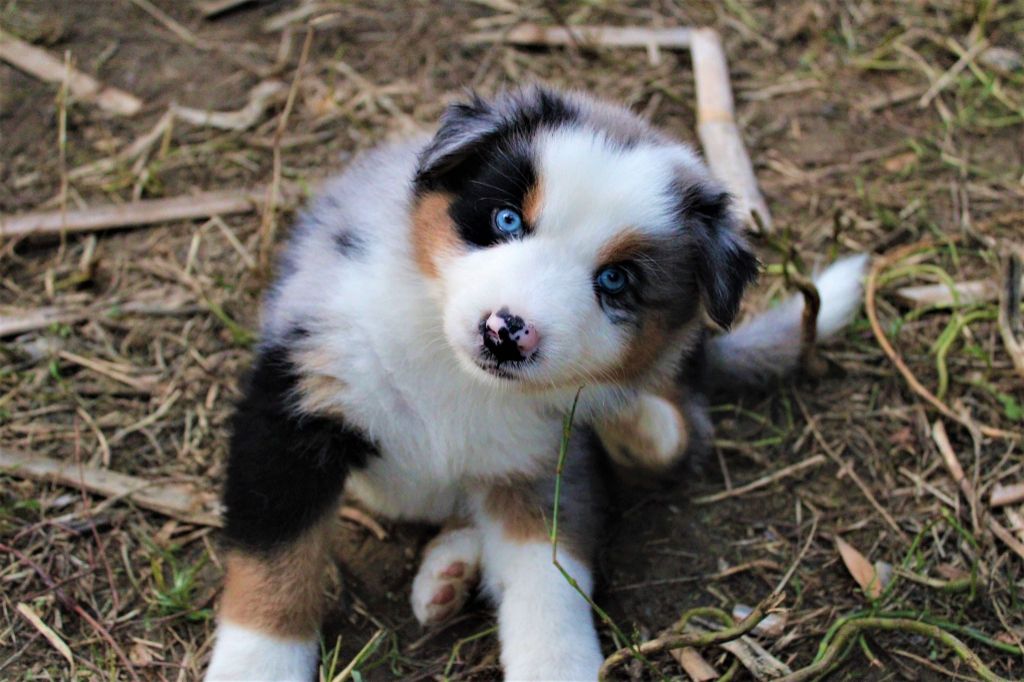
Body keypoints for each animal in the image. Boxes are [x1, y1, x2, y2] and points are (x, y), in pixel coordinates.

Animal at [204, 86, 867, 681]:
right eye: (505, 219)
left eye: (616, 280)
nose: (505, 333)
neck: (457, 375)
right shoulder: (298, 405)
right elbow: (275, 568)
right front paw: (253, 669)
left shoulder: (548, 465)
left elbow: (549, 588)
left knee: (680, 434)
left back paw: (628, 429)